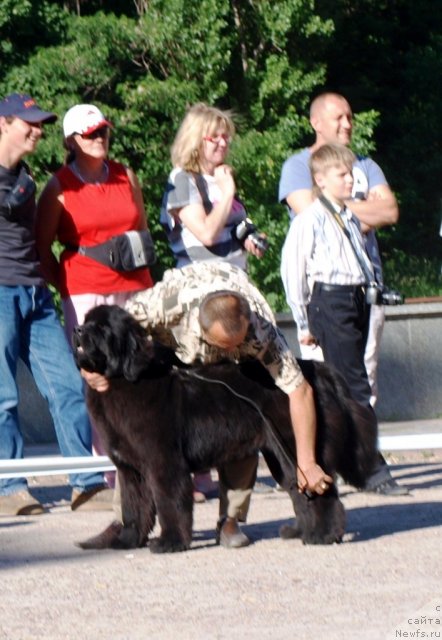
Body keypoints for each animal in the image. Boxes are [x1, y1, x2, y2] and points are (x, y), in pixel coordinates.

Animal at [72, 304, 376, 552]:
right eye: (86, 321)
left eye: (102, 328)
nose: (76, 329)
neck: (125, 380)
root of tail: (319, 369)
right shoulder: (130, 469)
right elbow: (133, 507)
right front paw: (127, 540)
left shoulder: (164, 461)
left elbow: (169, 503)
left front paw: (170, 542)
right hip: (280, 454)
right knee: (299, 491)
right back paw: (300, 531)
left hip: (298, 448)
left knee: (322, 492)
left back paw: (322, 535)